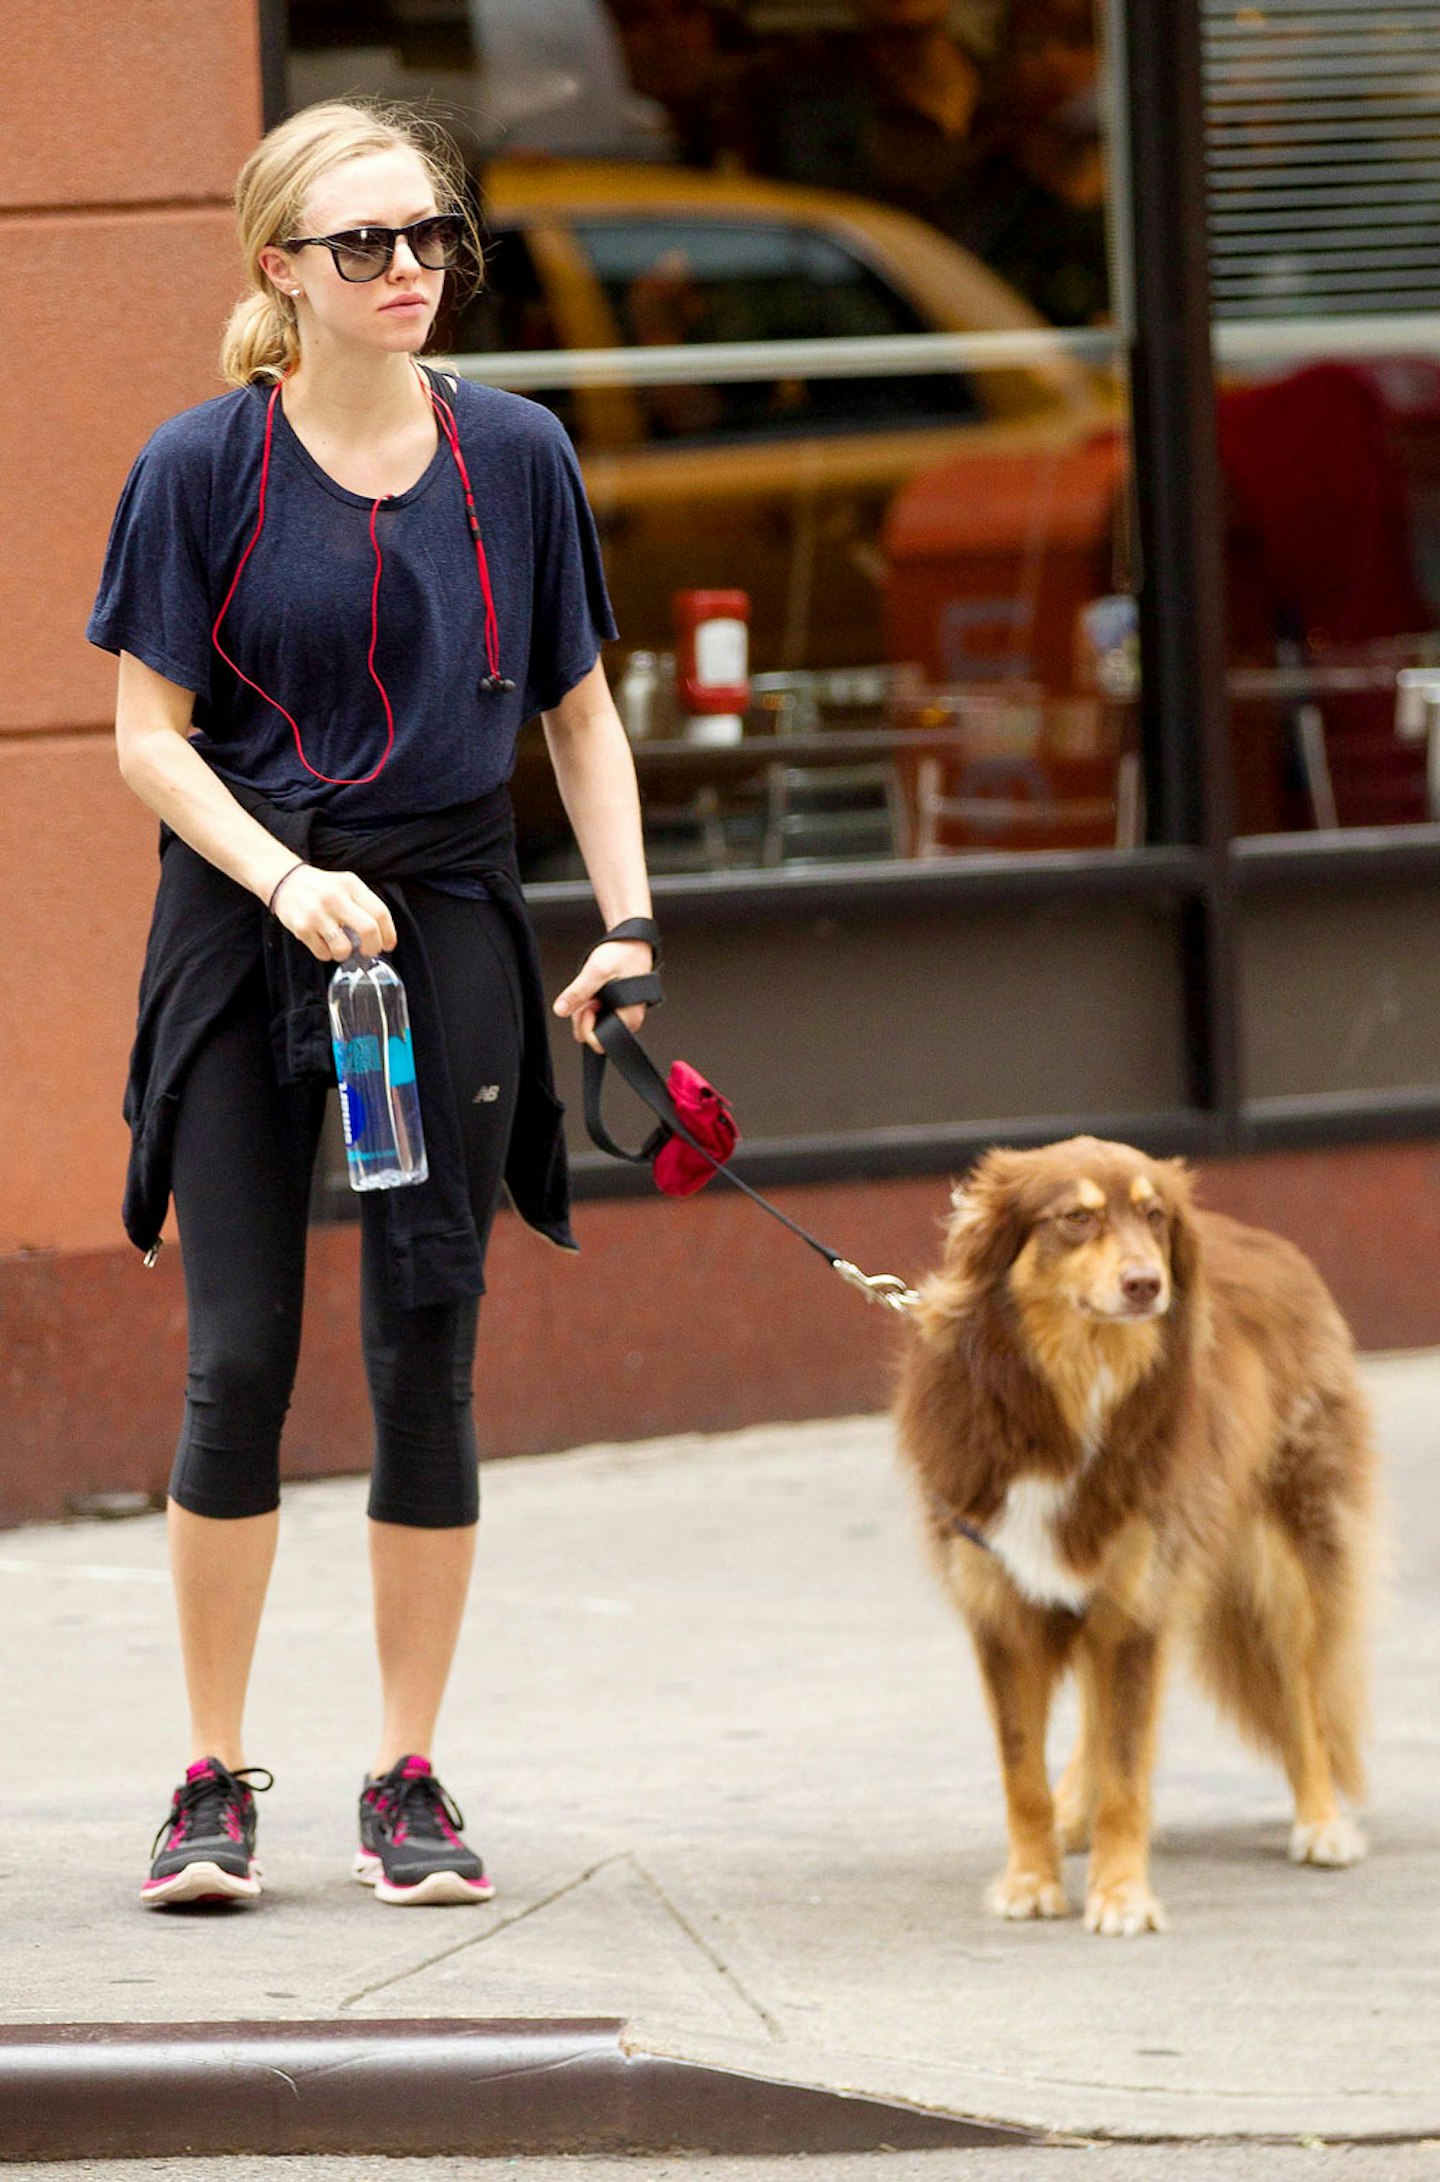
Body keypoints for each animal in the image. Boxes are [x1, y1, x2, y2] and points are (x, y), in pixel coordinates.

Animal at [894, 1134, 1378, 1937]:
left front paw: (1122, 1896)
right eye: (1077, 1219)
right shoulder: (1006, 1609)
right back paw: (1072, 1816)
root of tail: (1272, 1244)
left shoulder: (1137, 1598)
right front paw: (1032, 1880)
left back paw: (1321, 1824)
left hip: (1280, 1562)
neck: (1074, 1392)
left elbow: (1128, 1770)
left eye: (1154, 1217)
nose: (1147, 1284)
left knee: (1304, 1696)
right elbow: (1023, 1773)